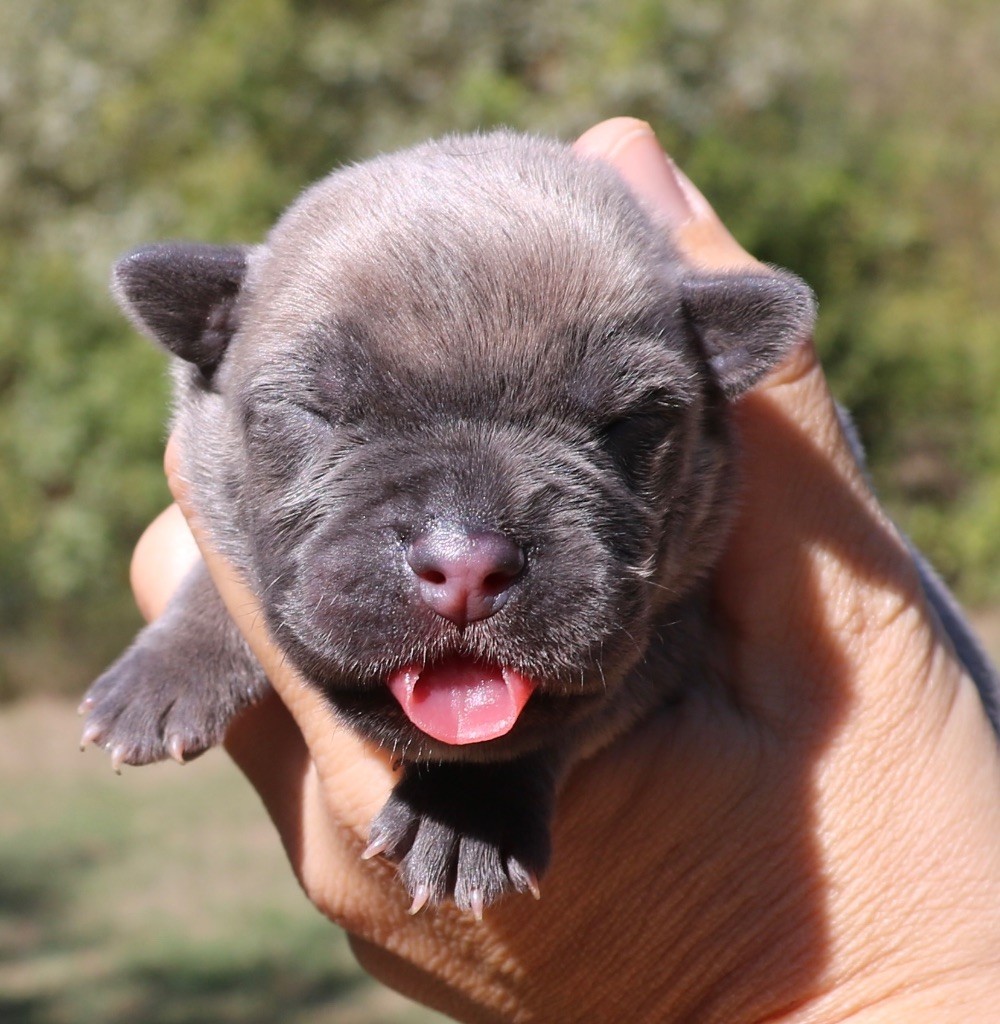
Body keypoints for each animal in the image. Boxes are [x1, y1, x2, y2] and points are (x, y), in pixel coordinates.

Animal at [81, 134, 994, 913]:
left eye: (631, 422)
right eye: (313, 412)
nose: (464, 563)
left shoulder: (674, 632)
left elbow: (535, 730)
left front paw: (465, 814)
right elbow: (219, 574)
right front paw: (166, 669)